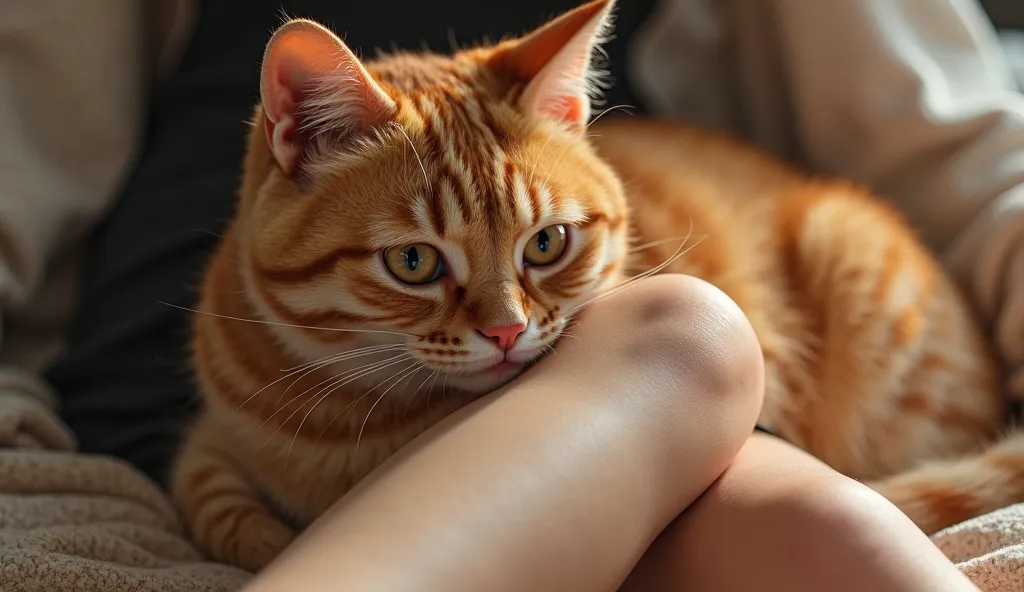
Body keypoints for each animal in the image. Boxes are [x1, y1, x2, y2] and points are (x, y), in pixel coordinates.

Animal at [169, 0, 1007, 573]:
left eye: (546, 243)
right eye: (414, 263)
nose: (507, 331)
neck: (344, 427)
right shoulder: (203, 449)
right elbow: (225, 513)